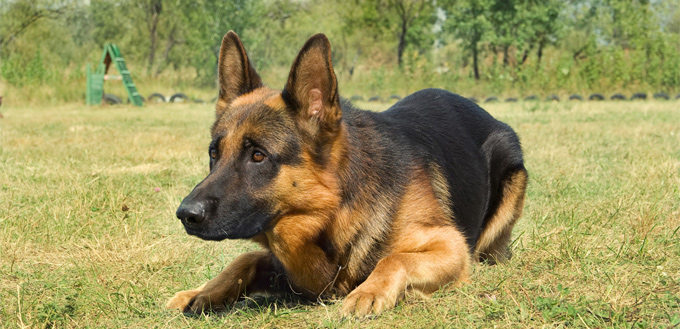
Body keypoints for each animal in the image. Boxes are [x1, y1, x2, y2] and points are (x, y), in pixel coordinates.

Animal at [165, 32, 524, 316]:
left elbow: (394, 259)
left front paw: (369, 291)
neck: (335, 213)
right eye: (214, 154)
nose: (185, 214)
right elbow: (245, 259)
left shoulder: (450, 247)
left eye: (258, 156)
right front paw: (200, 292)